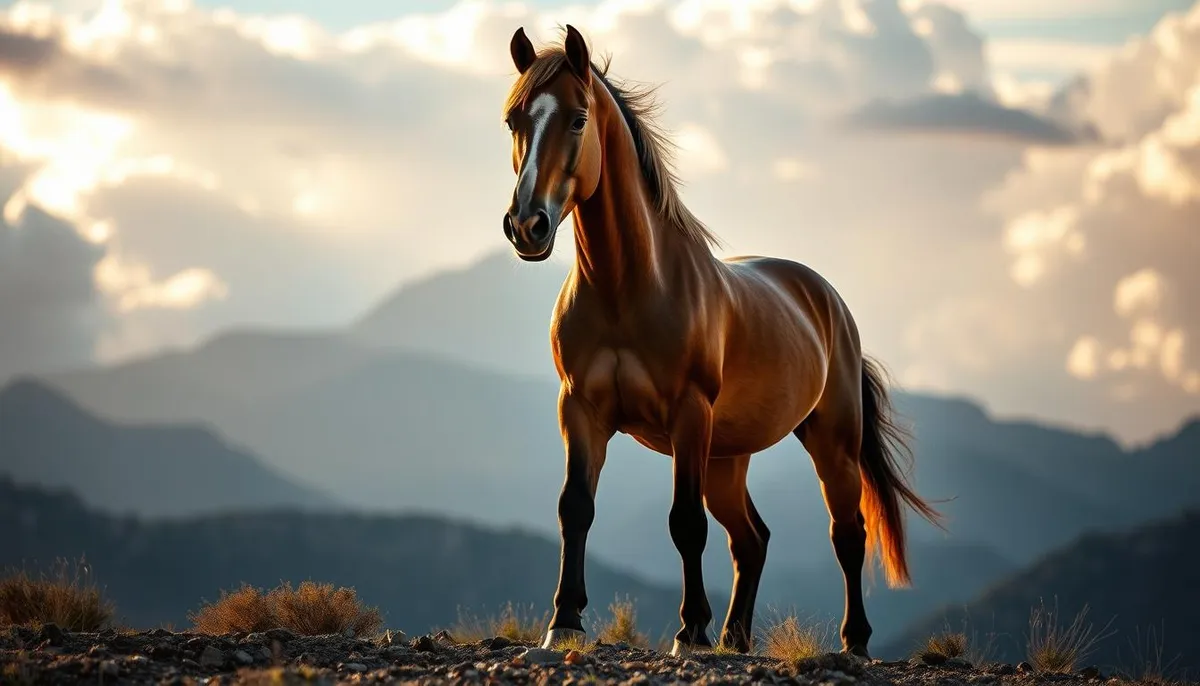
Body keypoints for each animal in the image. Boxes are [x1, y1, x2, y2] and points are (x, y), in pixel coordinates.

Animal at [498, 24, 943, 658]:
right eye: (514, 120)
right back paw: (735, 636)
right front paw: (565, 622)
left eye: (579, 118)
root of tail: (827, 300)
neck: (628, 288)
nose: (527, 226)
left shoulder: (689, 414)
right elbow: (575, 507)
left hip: (830, 442)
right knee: (751, 538)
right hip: (728, 458)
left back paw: (852, 641)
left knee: (847, 534)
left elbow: (685, 523)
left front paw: (691, 632)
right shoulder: (579, 409)